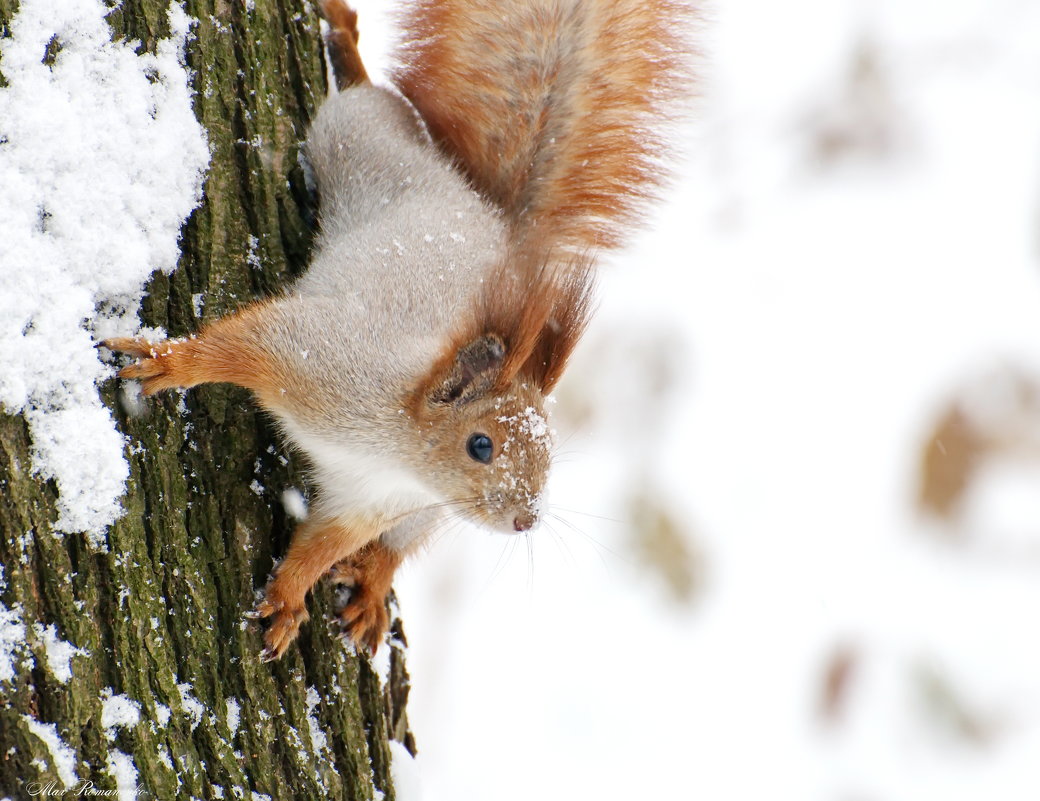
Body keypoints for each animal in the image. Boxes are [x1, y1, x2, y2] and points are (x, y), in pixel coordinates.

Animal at [103, 0, 690, 657]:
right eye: (480, 444)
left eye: (550, 453)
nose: (525, 520)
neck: (398, 454)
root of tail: (482, 207)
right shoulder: (325, 359)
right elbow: (248, 344)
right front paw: (171, 363)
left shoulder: (368, 502)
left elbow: (322, 545)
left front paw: (288, 598)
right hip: (357, 139)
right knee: (368, 99)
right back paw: (347, 46)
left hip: (429, 513)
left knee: (400, 545)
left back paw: (375, 581)